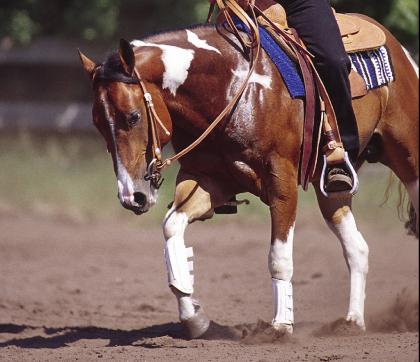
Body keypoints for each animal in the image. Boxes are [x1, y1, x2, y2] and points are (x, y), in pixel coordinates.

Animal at [78, 12, 416, 338]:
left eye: (133, 117)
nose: (131, 196)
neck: (232, 89)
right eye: (97, 123)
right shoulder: (208, 180)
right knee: (357, 248)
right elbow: (172, 229)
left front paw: (280, 326)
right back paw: (352, 322)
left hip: (408, 158)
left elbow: (279, 258)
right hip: (332, 187)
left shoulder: (282, 184)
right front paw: (195, 319)